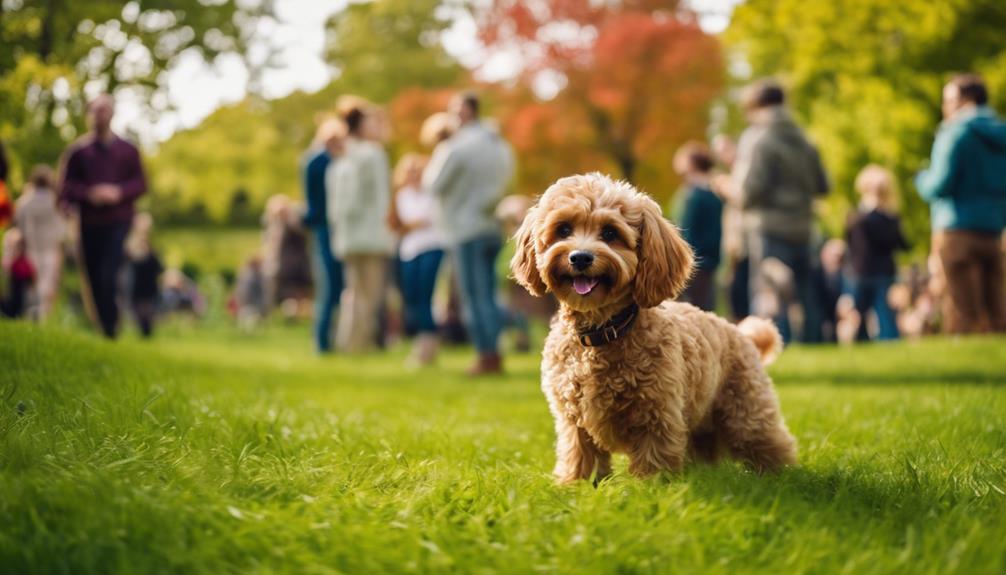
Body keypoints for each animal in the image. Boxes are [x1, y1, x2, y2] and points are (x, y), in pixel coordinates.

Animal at [515, 172, 796, 482]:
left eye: (610, 233)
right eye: (563, 229)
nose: (580, 257)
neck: (602, 332)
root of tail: (741, 333)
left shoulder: (656, 412)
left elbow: (653, 456)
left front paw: (651, 485)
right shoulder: (572, 419)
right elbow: (580, 453)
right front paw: (576, 483)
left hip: (745, 410)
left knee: (769, 441)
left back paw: (780, 476)